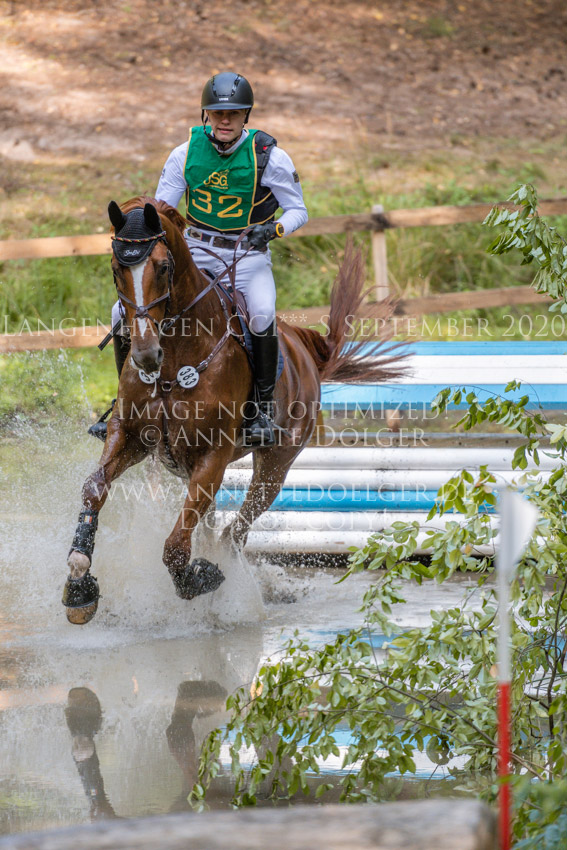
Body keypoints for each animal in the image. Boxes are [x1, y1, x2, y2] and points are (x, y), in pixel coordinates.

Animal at [62, 197, 406, 624]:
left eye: (163, 267)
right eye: (115, 269)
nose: (144, 355)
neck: (175, 355)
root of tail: (304, 349)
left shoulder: (212, 456)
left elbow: (176, 546)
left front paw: (199, 578)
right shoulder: (129, 437)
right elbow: (94, 488)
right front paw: (78, 583)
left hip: (275, 465)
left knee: (233, 534)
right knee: (214, 529)